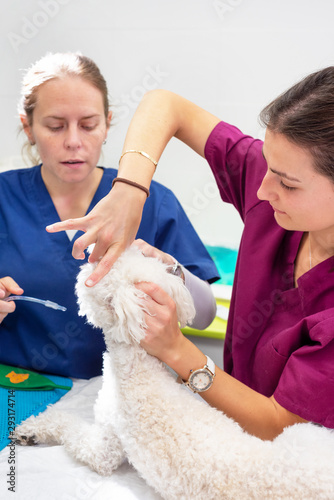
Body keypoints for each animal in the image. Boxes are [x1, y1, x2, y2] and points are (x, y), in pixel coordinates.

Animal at [15, 248, 334, 498]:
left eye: (103, 262)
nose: (92, 248)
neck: (140, 368)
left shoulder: (108, 444)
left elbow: (71, 429)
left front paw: (32, 429)